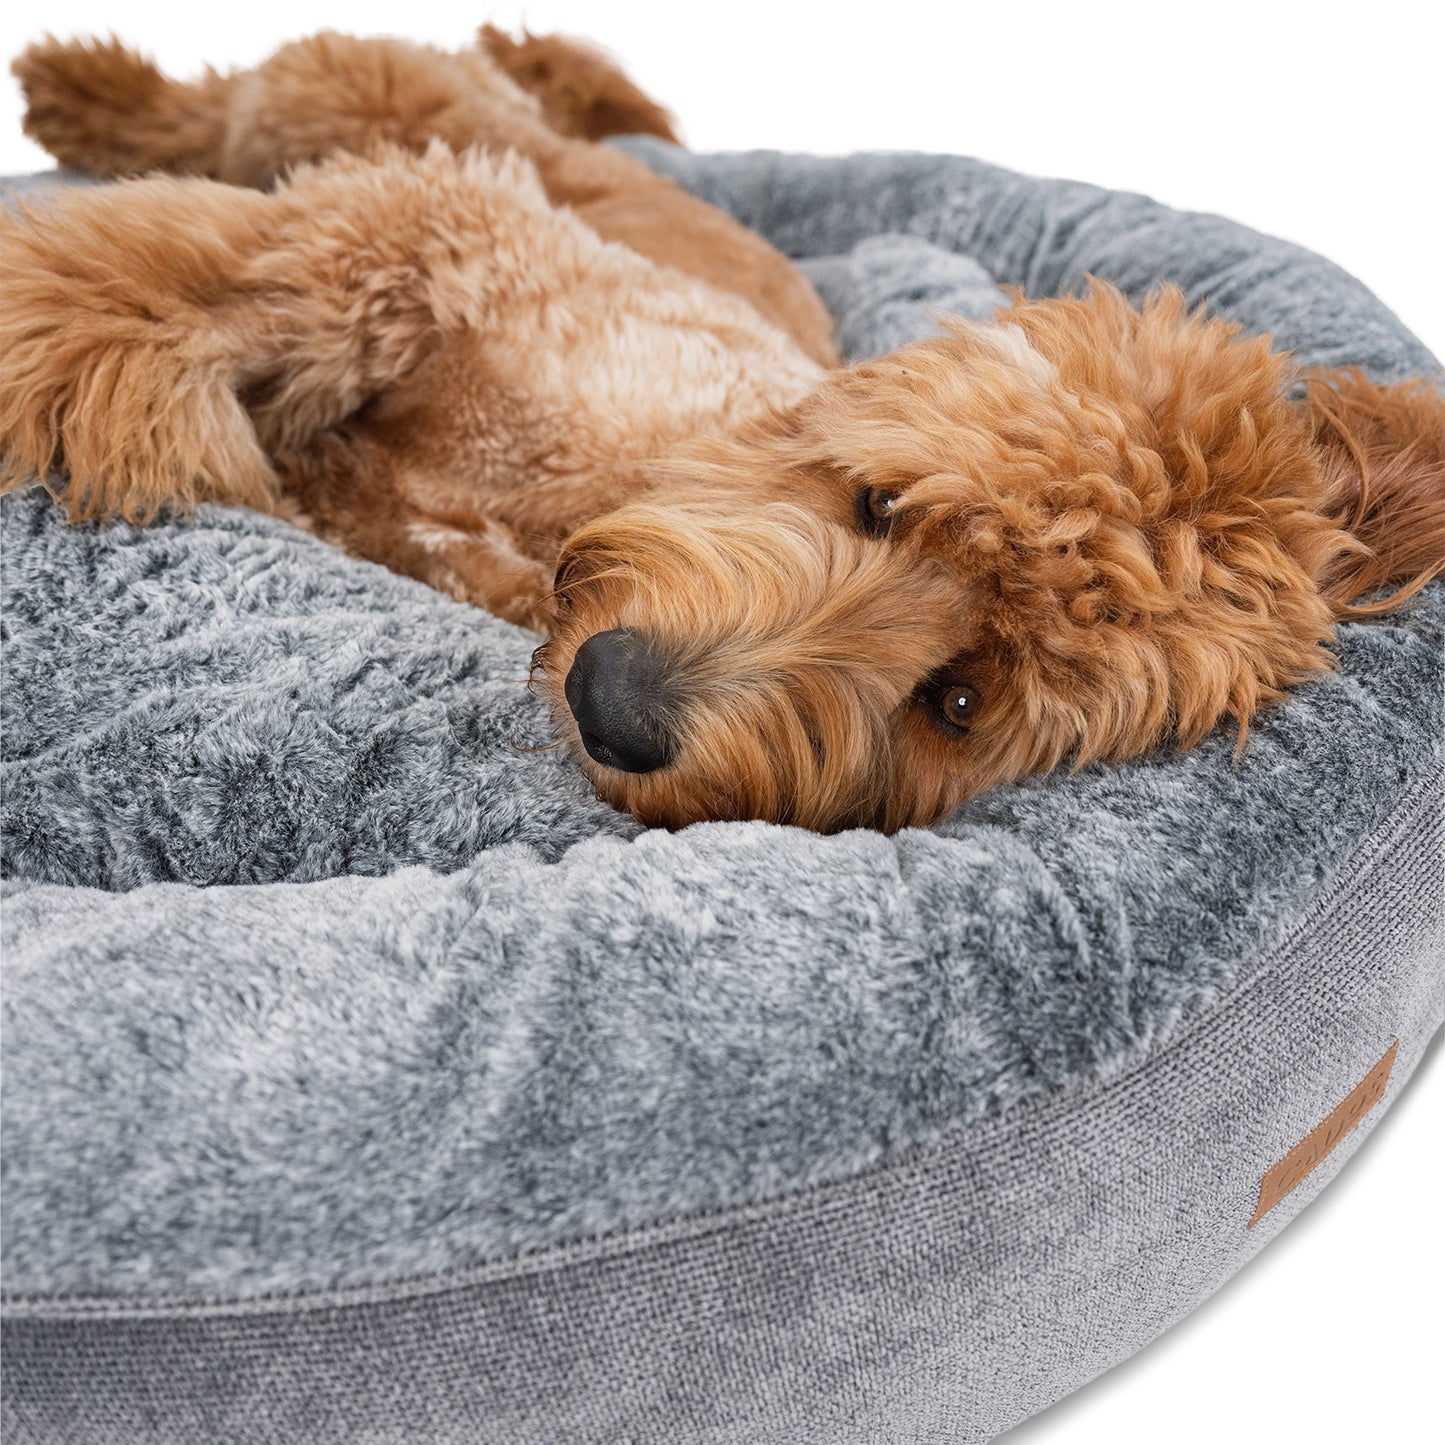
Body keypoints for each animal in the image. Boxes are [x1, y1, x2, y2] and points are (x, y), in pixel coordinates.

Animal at [3, 33, 1443, 833]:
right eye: (877, 504)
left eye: (957, 701)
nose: (616, 704)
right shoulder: (435, 237)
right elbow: (163, 282)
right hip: (373, 104)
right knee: (250, 102)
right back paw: (87, 92)